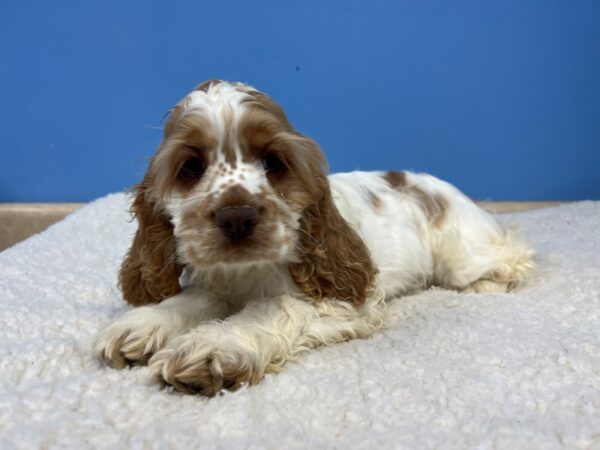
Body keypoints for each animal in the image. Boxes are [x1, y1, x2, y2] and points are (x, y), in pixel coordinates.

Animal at [97, 79, 536, 396]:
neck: (247, 273)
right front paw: (142, 325)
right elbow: (192, 300)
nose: (237, 217)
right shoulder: (217, 281)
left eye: (273, 162)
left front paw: (212, 348)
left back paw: (488, 283)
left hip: (464, 254)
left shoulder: (343, 299)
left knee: (514, 257)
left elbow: (272, 308)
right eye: (190, 167)